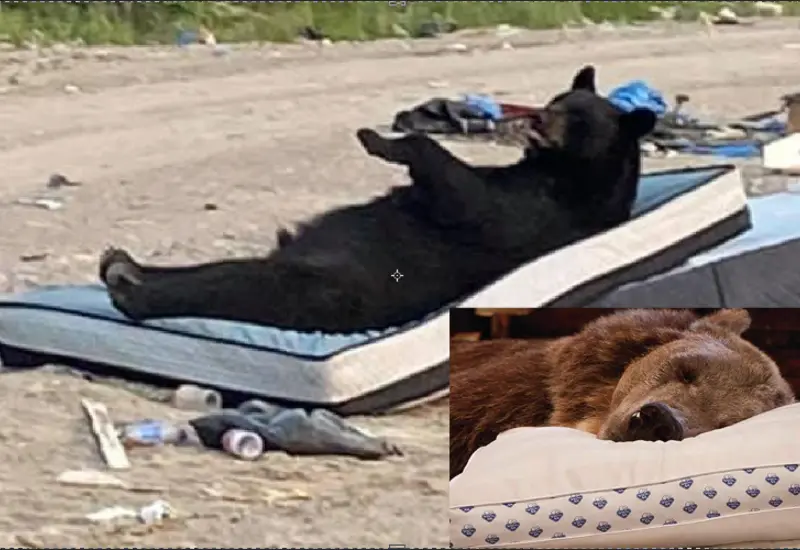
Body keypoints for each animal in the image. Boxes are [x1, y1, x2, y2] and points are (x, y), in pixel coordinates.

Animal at [97, 66, 657, 333]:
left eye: (576, 117)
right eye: (557, 99)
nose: (536, 117)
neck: (570, 175)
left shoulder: (540, 212)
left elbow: (465, 193)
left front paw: (377, 138)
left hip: (319, 286)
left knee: (234, 284)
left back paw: (131, 289)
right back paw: (122, 263)